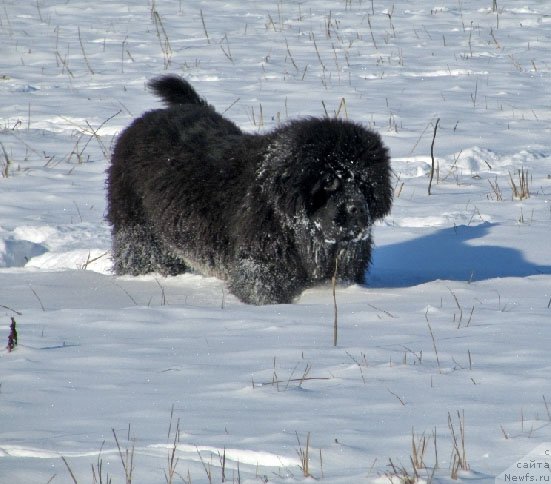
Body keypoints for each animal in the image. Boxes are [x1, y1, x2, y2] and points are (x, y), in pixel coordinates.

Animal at [108, 74, 392, 302]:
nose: (356, 209)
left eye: (364, 183)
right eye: (330, 181)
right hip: (138, 227)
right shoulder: (261, 267)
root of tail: (145, 119)